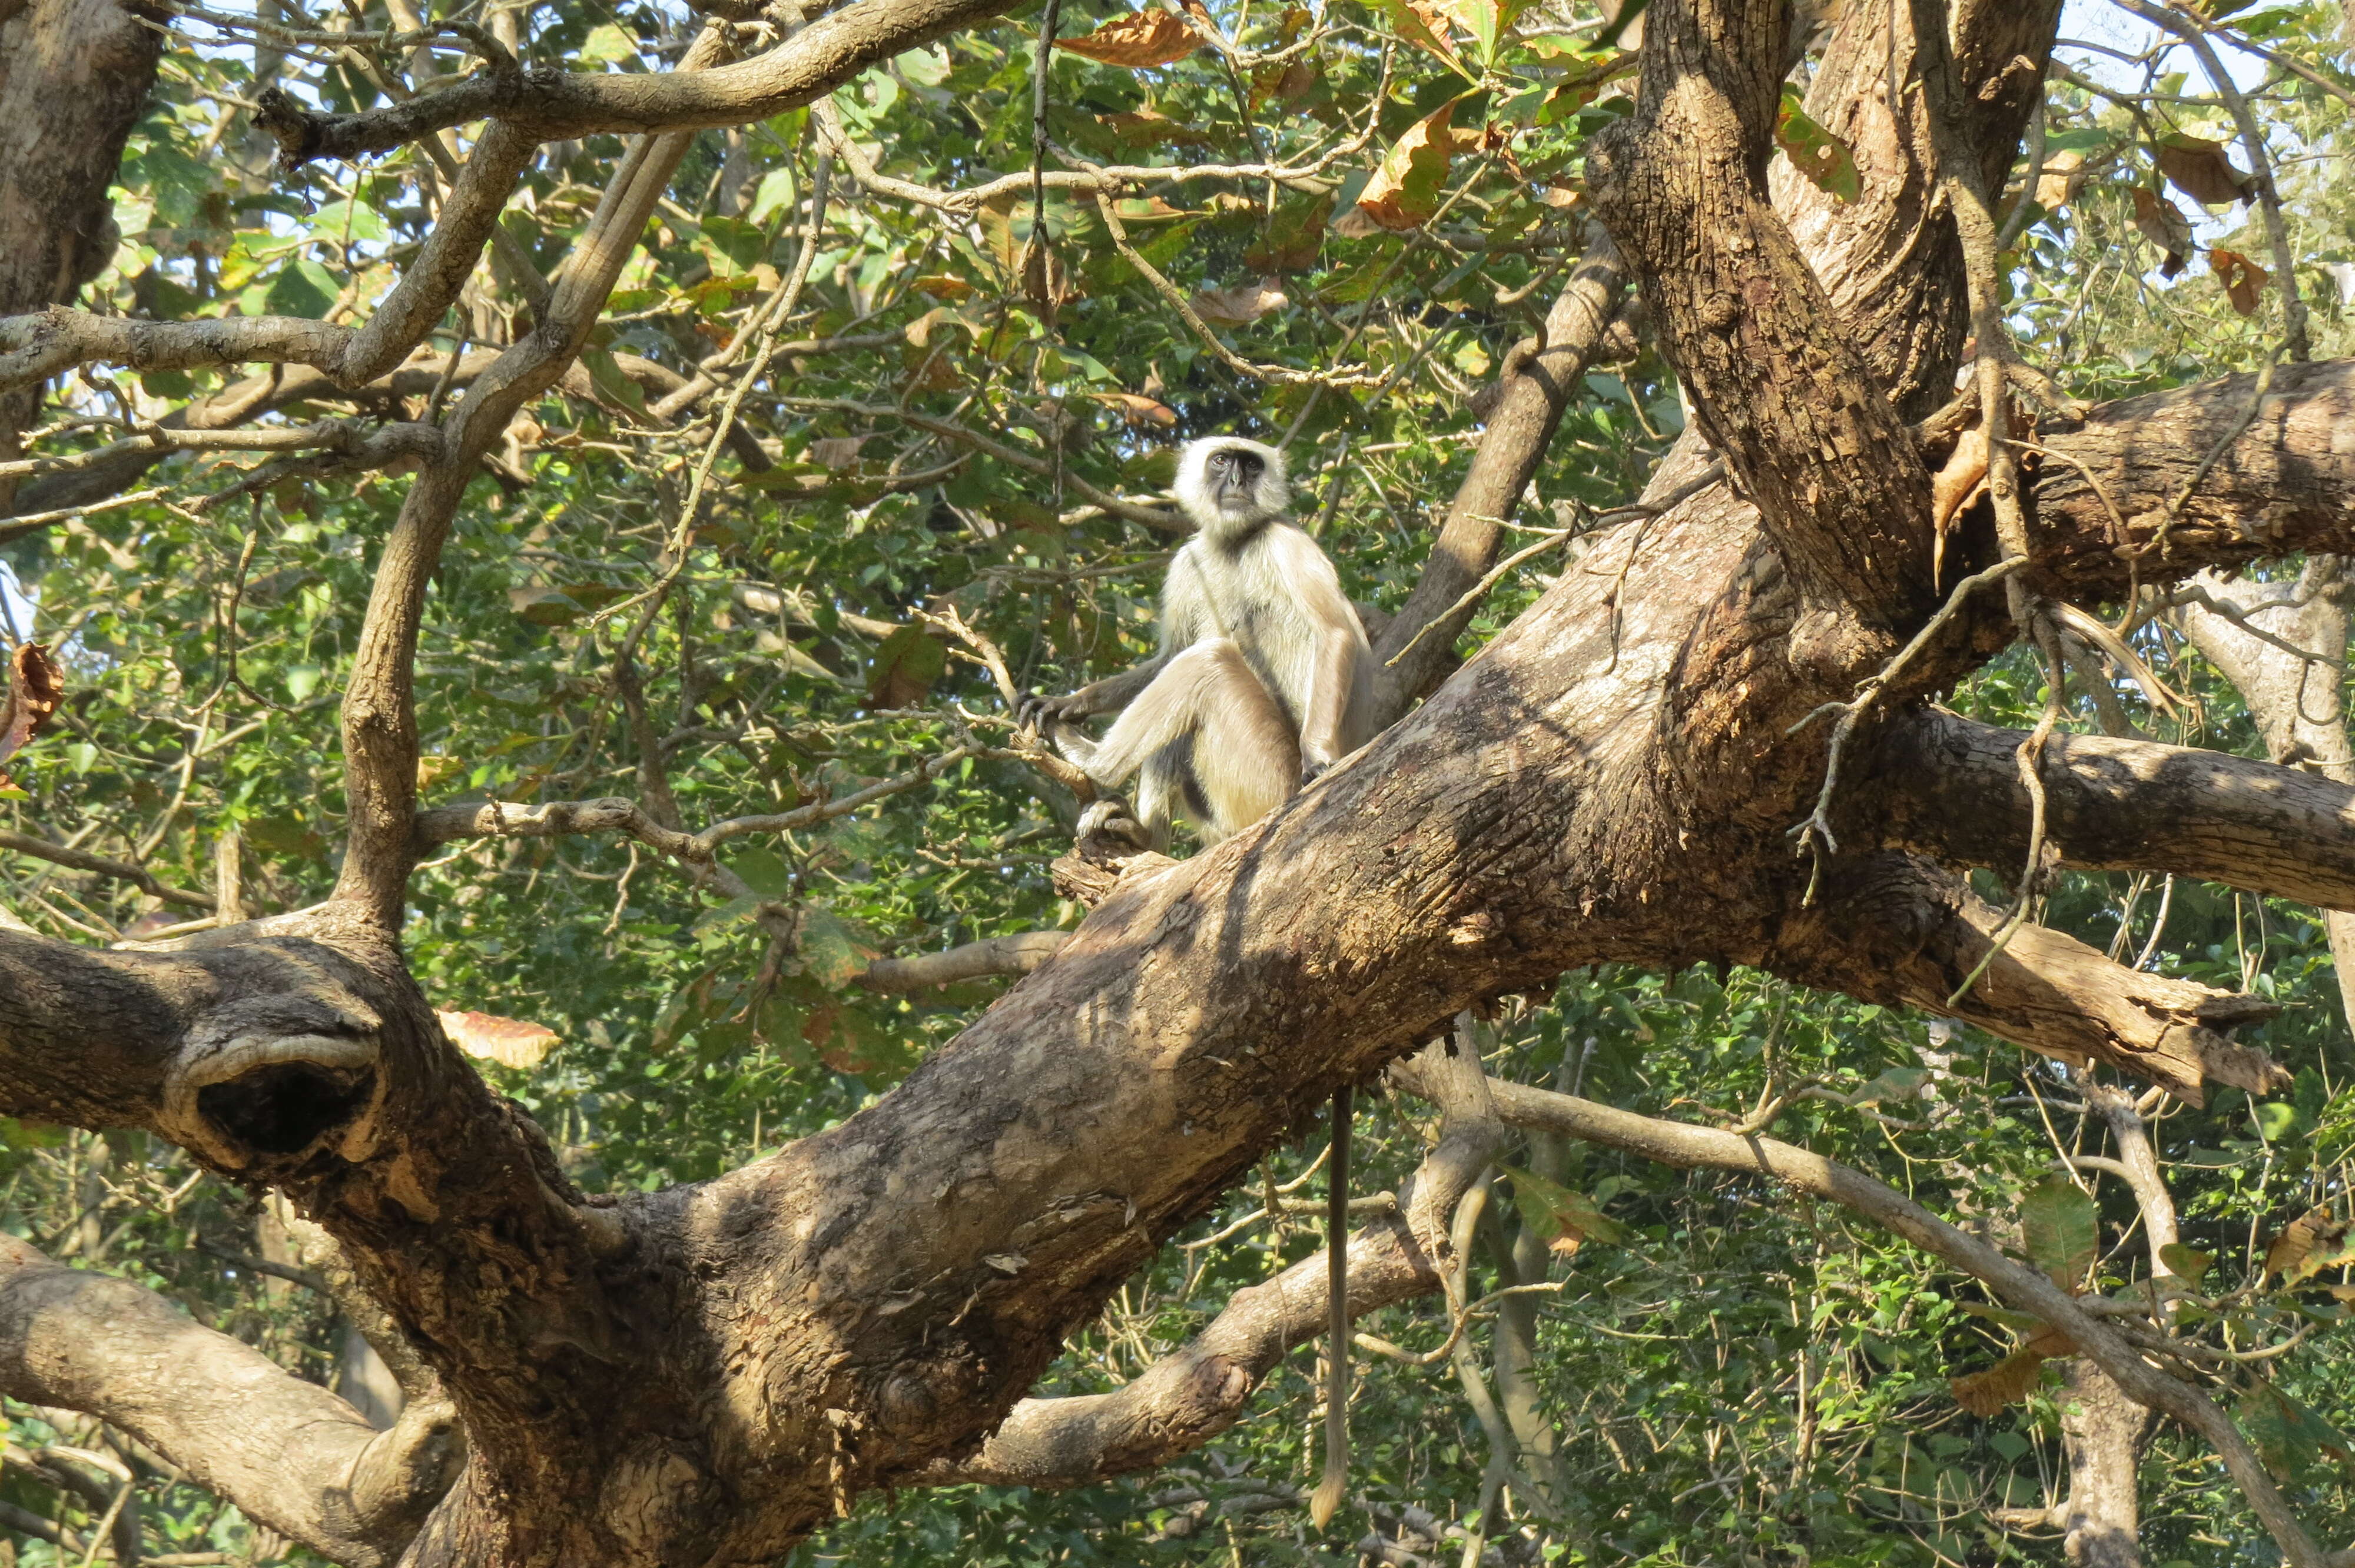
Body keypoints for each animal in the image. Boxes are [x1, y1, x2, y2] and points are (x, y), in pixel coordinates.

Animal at [1017, 431, 1375, 1526]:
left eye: (1249, 463)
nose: (1231, 480)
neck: (1231, 543)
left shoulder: (1284, 543)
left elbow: (1333, 630)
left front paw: (1329, 757)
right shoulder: (1189, 560)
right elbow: (1160, 644)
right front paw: (1069, 705)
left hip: (1255, 778)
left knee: (1215, 664)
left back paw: (1102, 779)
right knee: (1195, 664)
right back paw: (1120, 806)